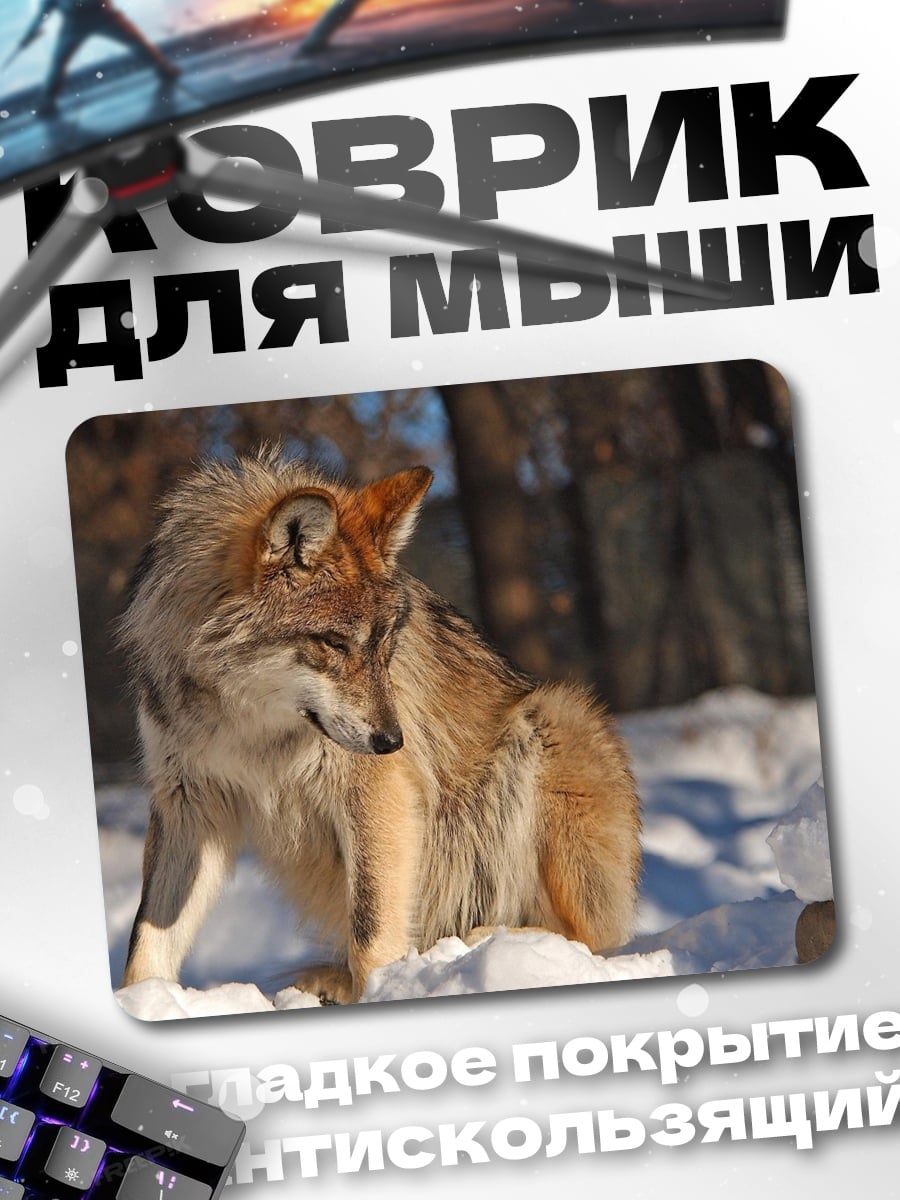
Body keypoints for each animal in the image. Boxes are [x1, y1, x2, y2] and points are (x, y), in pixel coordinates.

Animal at [120, 447, 641, 1004]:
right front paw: (142, 1001)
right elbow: (147, 938)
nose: (394, 741)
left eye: (385, 642)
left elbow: (370, 928)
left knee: (586, 938)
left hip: (553, 719)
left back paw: (483, 941)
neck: (247, 722)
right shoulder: (188, 802)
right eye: (334, 642)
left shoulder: (376, 792)